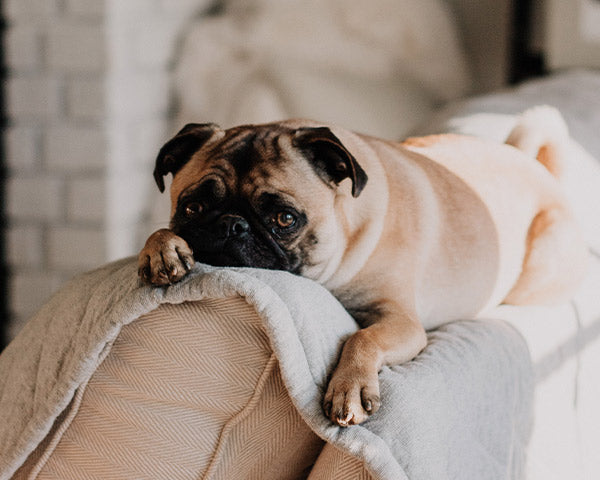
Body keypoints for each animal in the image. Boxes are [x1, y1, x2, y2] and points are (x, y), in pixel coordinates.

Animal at [137, 108, 584, 428]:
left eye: (285, 219)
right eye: (192, 208)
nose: (232, 225)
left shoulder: (402, 321)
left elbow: (362, 338)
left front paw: (349, 388)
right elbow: (160, 232)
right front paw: (161, 248)